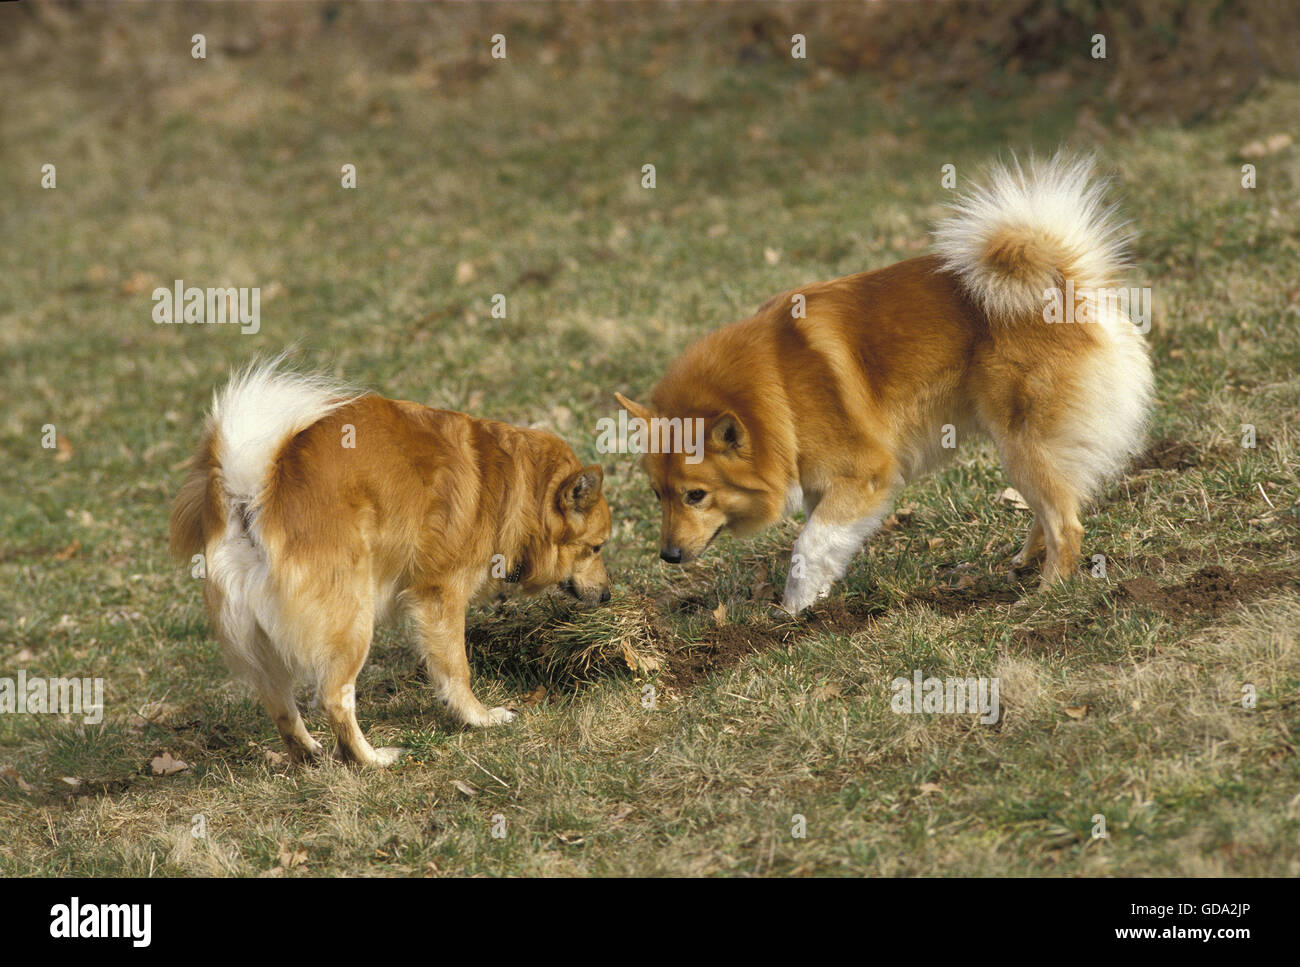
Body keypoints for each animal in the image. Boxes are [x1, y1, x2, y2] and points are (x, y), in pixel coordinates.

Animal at [170, 358, 611, 764]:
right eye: (597, 548)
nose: (608, 595)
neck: (514, 488)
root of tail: (251, 494)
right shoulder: (440, 598)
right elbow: (455, 669)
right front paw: (479, 718)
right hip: (353, 621)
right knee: (334, 698)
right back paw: (373, 759)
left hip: (263, 645)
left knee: (279, 705)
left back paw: (308, 753)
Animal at [616, 156, 1149, 610]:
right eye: (657, 495)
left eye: (695, 495)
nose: (667, 556)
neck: (777, 388)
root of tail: (1069, 286)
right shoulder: (824, 488)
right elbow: (823, 544)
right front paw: (812, 602)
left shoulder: (866, 473)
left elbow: (808, 545)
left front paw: (792, 613)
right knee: (1052, 507)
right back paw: (1024, 562)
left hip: (1022, 441)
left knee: (1066, 523)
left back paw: (1048, 592)